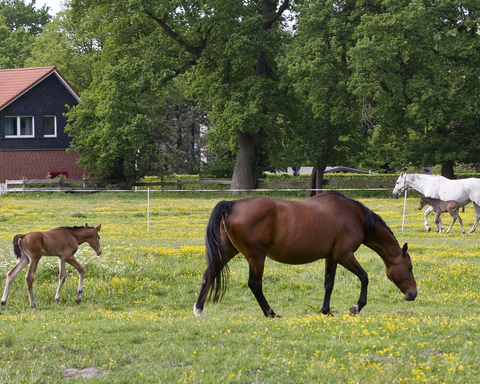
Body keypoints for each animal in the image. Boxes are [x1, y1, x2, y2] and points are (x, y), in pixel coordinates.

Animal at [193, 192, 418, 318]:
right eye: (409, 268)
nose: (413, 293)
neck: (357, 217)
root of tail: (231, 204)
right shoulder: (344, 255)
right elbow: (364, 277)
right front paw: (357, 306)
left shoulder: (332, 257)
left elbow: (329, 284)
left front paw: (326, 311)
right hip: (256, 257)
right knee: (255, 284)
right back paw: (270, 313)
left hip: (227, 251)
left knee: (209, 274)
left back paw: (198, 309)